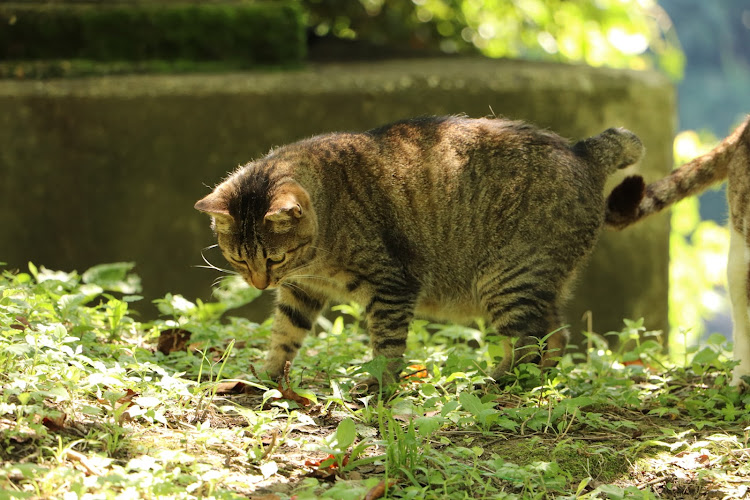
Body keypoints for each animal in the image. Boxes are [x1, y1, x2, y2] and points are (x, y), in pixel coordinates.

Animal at [195, 115, 648, 384]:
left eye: (275, 258)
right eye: (238, 259)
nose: (259, 284)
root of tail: (581, 149)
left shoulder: (391, 286)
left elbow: (387, 342)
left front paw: (379, 385)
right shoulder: (301, 290)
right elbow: (284, 334)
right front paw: (267, 375)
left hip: (508, 280)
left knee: (530, 341)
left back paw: (497, 382)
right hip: (532, 286)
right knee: (554, 337)